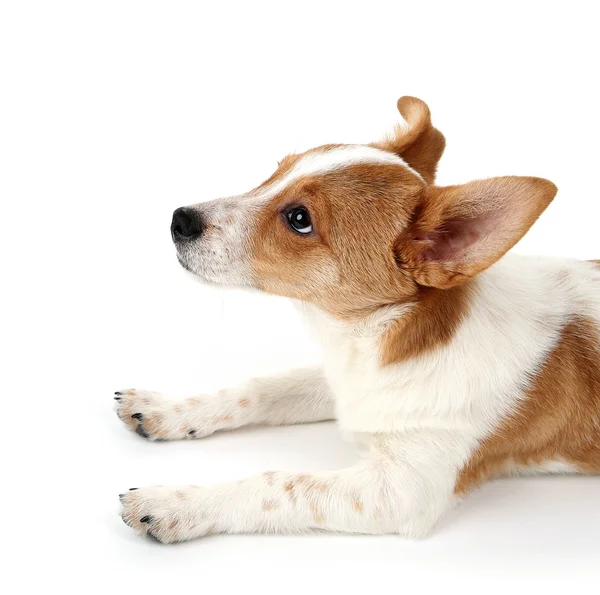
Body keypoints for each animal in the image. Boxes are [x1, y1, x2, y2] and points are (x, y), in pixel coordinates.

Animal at [115, 95, 596, 544]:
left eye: (300, 219)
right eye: (277, 171)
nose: (179, 219)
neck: (376, 338)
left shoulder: (401, 491)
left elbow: (277, 483)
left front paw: (178, 503)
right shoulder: (341, 383)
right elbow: (261, 390)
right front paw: (168, 409)